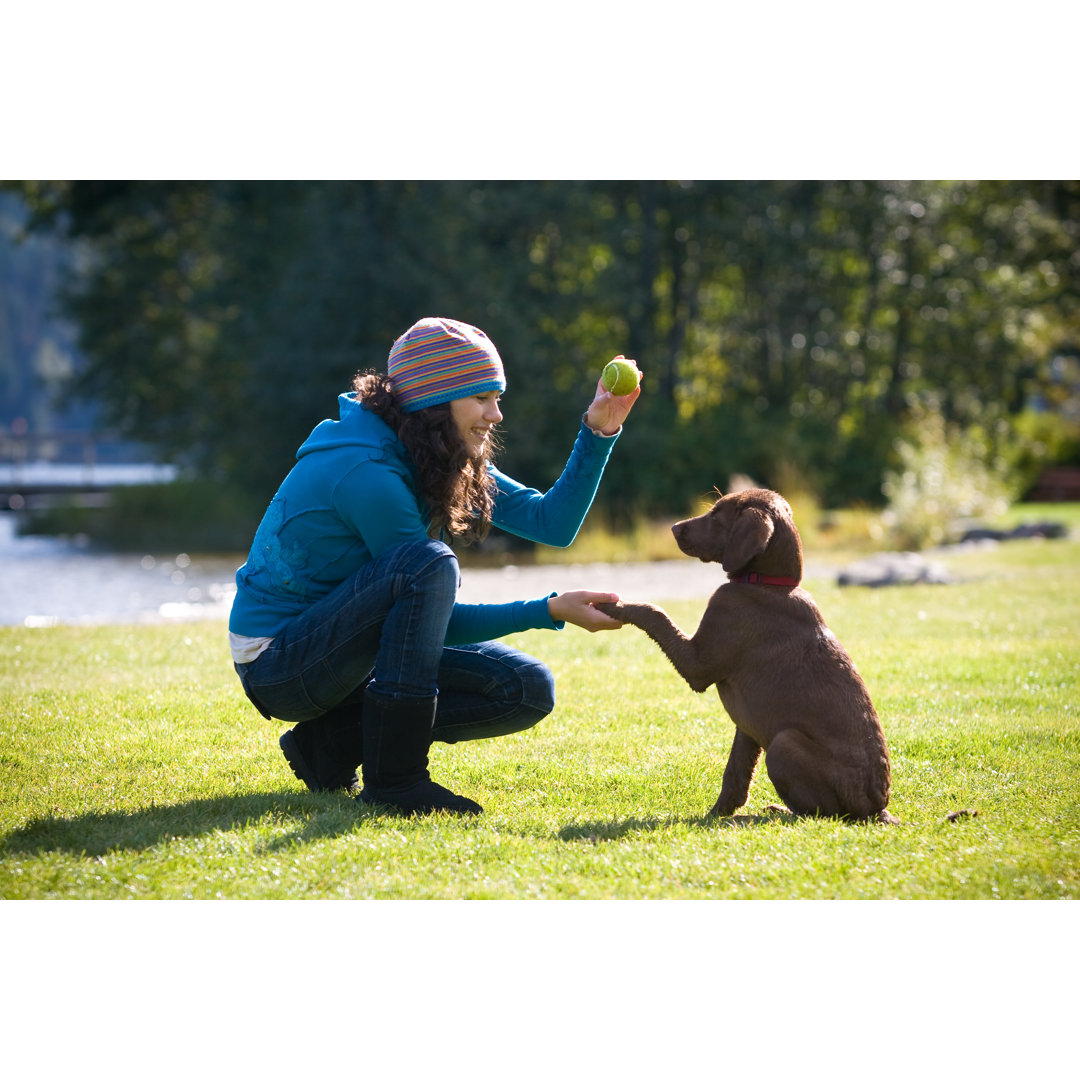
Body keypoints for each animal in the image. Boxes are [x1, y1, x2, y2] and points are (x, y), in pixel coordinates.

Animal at [596, 490, 898, 825]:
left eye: (716, 515)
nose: (674, 528)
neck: (767, 583)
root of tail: (876, 809)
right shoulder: (748, 725)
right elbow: (736, 773)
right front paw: (717, 813)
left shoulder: (698, 664)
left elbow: (654, 612)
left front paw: (614, 605)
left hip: (783, 744)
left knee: (821, 814)